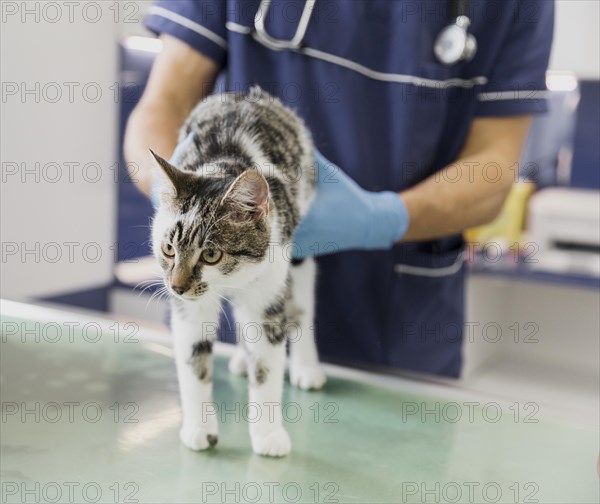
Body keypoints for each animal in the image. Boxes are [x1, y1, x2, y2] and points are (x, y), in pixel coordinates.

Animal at [151, 86, 328, 456]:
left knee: (301, 307)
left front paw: (269, 435)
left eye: (211, 254)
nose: (176, 287)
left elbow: (267, 367)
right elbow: (194, 364)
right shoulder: (190, 312)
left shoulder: (269, 291)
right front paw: (199, 430)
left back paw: (307, 367)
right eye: (169, 249)